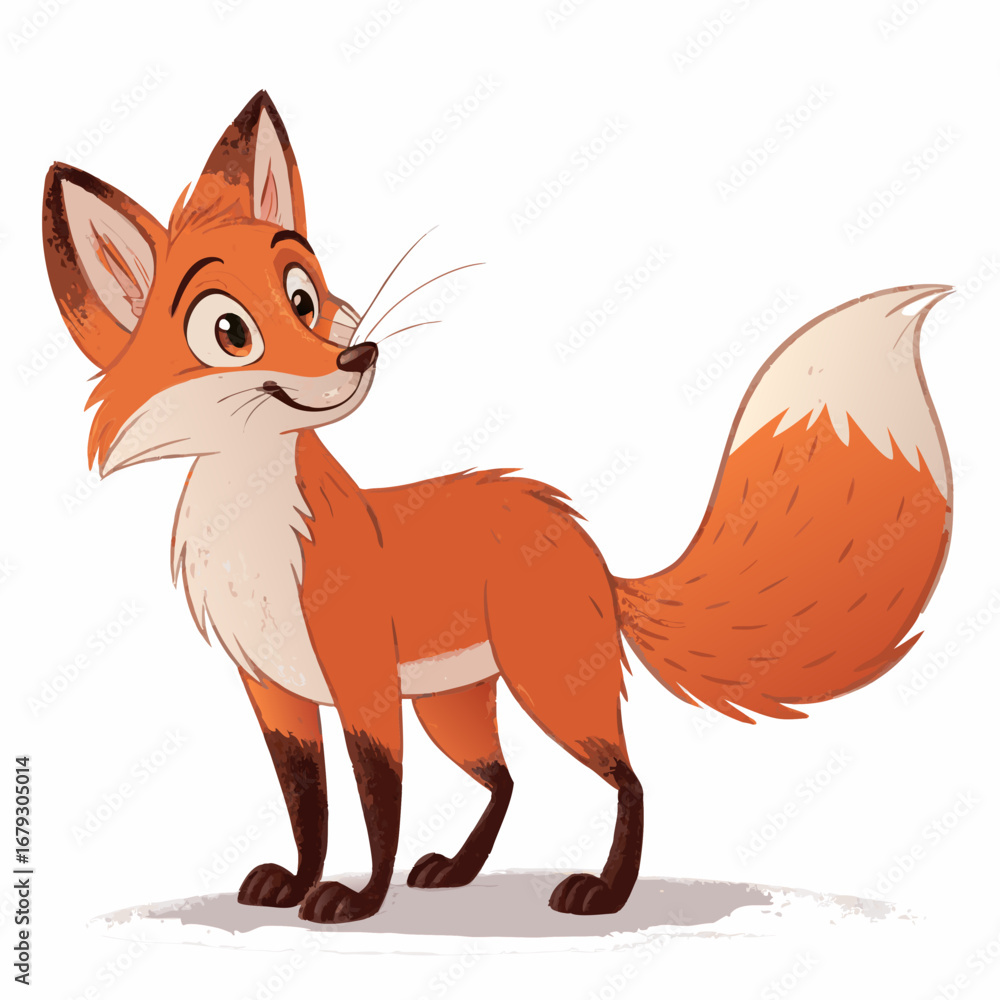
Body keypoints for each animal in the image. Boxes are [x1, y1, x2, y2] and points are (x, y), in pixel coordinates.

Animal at [42, 91, 953, 923]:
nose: (357, 354)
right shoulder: (277, 696)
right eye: (230, 331)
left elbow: (376, 806)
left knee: (630, 781)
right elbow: (310, 809)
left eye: (302, 296)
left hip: (549, 690)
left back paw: (603, 893)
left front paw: (357, 901)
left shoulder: (364, 686)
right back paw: (457, 872)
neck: (255, 532)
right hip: (456, 707)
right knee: (507, 781)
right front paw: (298, 885)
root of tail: (586, 545)